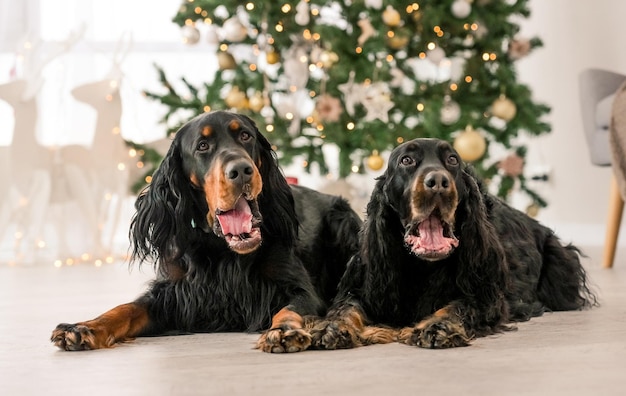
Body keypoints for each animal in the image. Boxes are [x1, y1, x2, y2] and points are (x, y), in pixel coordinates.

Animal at [52, 110, 360, 352]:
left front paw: (283, 331)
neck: (222, 249)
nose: (242, 170)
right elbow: (126, 308)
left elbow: (289, 308)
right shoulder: (175, 294)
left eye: (245, 136)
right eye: (202, 146)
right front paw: (84, 327)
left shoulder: (299, 289)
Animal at [312, 138, 596, 348]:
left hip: (560, 261)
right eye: (406, 160)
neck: (422, 266)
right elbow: (347, 308)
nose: (437, 182)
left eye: (452, 160)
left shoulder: (486, 294)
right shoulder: (366, 283)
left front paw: (436, 326)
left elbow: (459, 305)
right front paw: (331, 328)